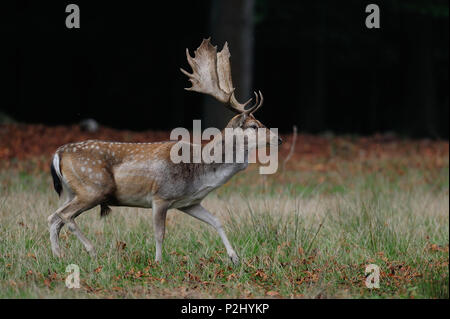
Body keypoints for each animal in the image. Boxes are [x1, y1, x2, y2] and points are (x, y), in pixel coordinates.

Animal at [49, 38, 282, 264]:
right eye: (253, 126)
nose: (278, 138)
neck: (199, 171)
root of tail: (58, 154)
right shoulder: (161, 196)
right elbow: (159, 234)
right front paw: (159, 262)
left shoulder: (189, 202)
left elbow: (217, 221)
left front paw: (234, 257)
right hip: (93, 187)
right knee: (64, 216)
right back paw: (91, 251)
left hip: (74, 191)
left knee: (53, 218)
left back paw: (59, 257)